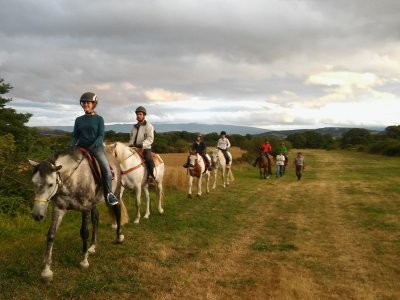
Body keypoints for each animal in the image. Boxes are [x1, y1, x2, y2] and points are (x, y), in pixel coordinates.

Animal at [28, 146, 128, 282]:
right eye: (33, 182)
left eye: (50, 184)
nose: (37, 215)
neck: (73, 178)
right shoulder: (59, 208)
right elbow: (51, 234)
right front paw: (46, 271)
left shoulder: (85, 208)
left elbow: (84, 232)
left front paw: (84, 261)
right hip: (94, 203)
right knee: (96, 219)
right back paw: (92, 247)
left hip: (116, 194)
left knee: (117, 212)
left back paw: (119, 237)